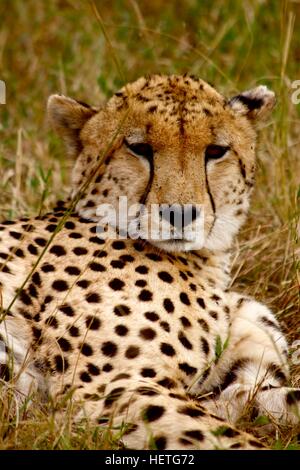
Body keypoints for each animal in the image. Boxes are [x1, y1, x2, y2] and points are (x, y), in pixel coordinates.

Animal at [0, 75, 300, 450]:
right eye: (139, 148)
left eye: (216, 151)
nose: (180, 214)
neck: (205, 264)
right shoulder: (113, 391)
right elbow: (233, 441)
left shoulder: (232, 389)